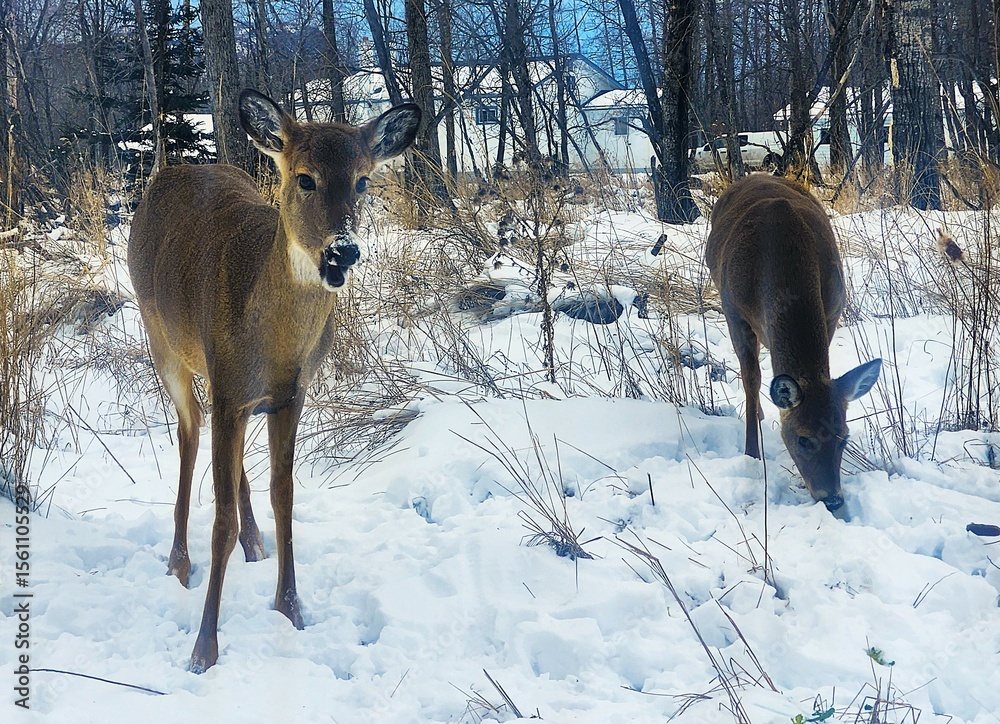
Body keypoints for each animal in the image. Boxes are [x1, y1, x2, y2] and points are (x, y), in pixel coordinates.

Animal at [127, 89, 420, 672]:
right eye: (304, 178)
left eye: (363, 180)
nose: (343, 250)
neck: (276, 345)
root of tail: (169, 175)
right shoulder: (228, 387)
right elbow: (219, 520)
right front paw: (204, 647)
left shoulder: (289, 395)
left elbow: (283, 496)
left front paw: (291, 609)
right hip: (163, 342)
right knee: (188, 430)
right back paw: (178, 561)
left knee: (224, 450)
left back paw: (255, 541)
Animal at [705, 174, 881, 512]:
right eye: (802, 438)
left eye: (844, 436)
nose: (833, 499)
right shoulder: (735, 312)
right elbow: (751, 379)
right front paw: (751, 452)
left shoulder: (833, 311)